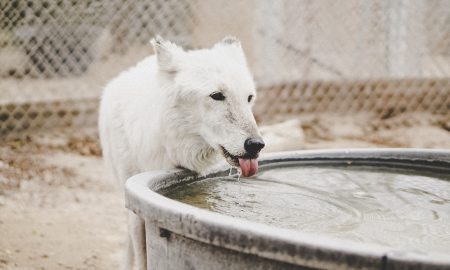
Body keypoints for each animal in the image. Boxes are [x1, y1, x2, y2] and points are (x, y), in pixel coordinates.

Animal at [98, 36, 266, 270]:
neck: (175, 150)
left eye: (249, 97)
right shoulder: (136, 203)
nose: (256, 145)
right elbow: (141, 257)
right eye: (217, 95)